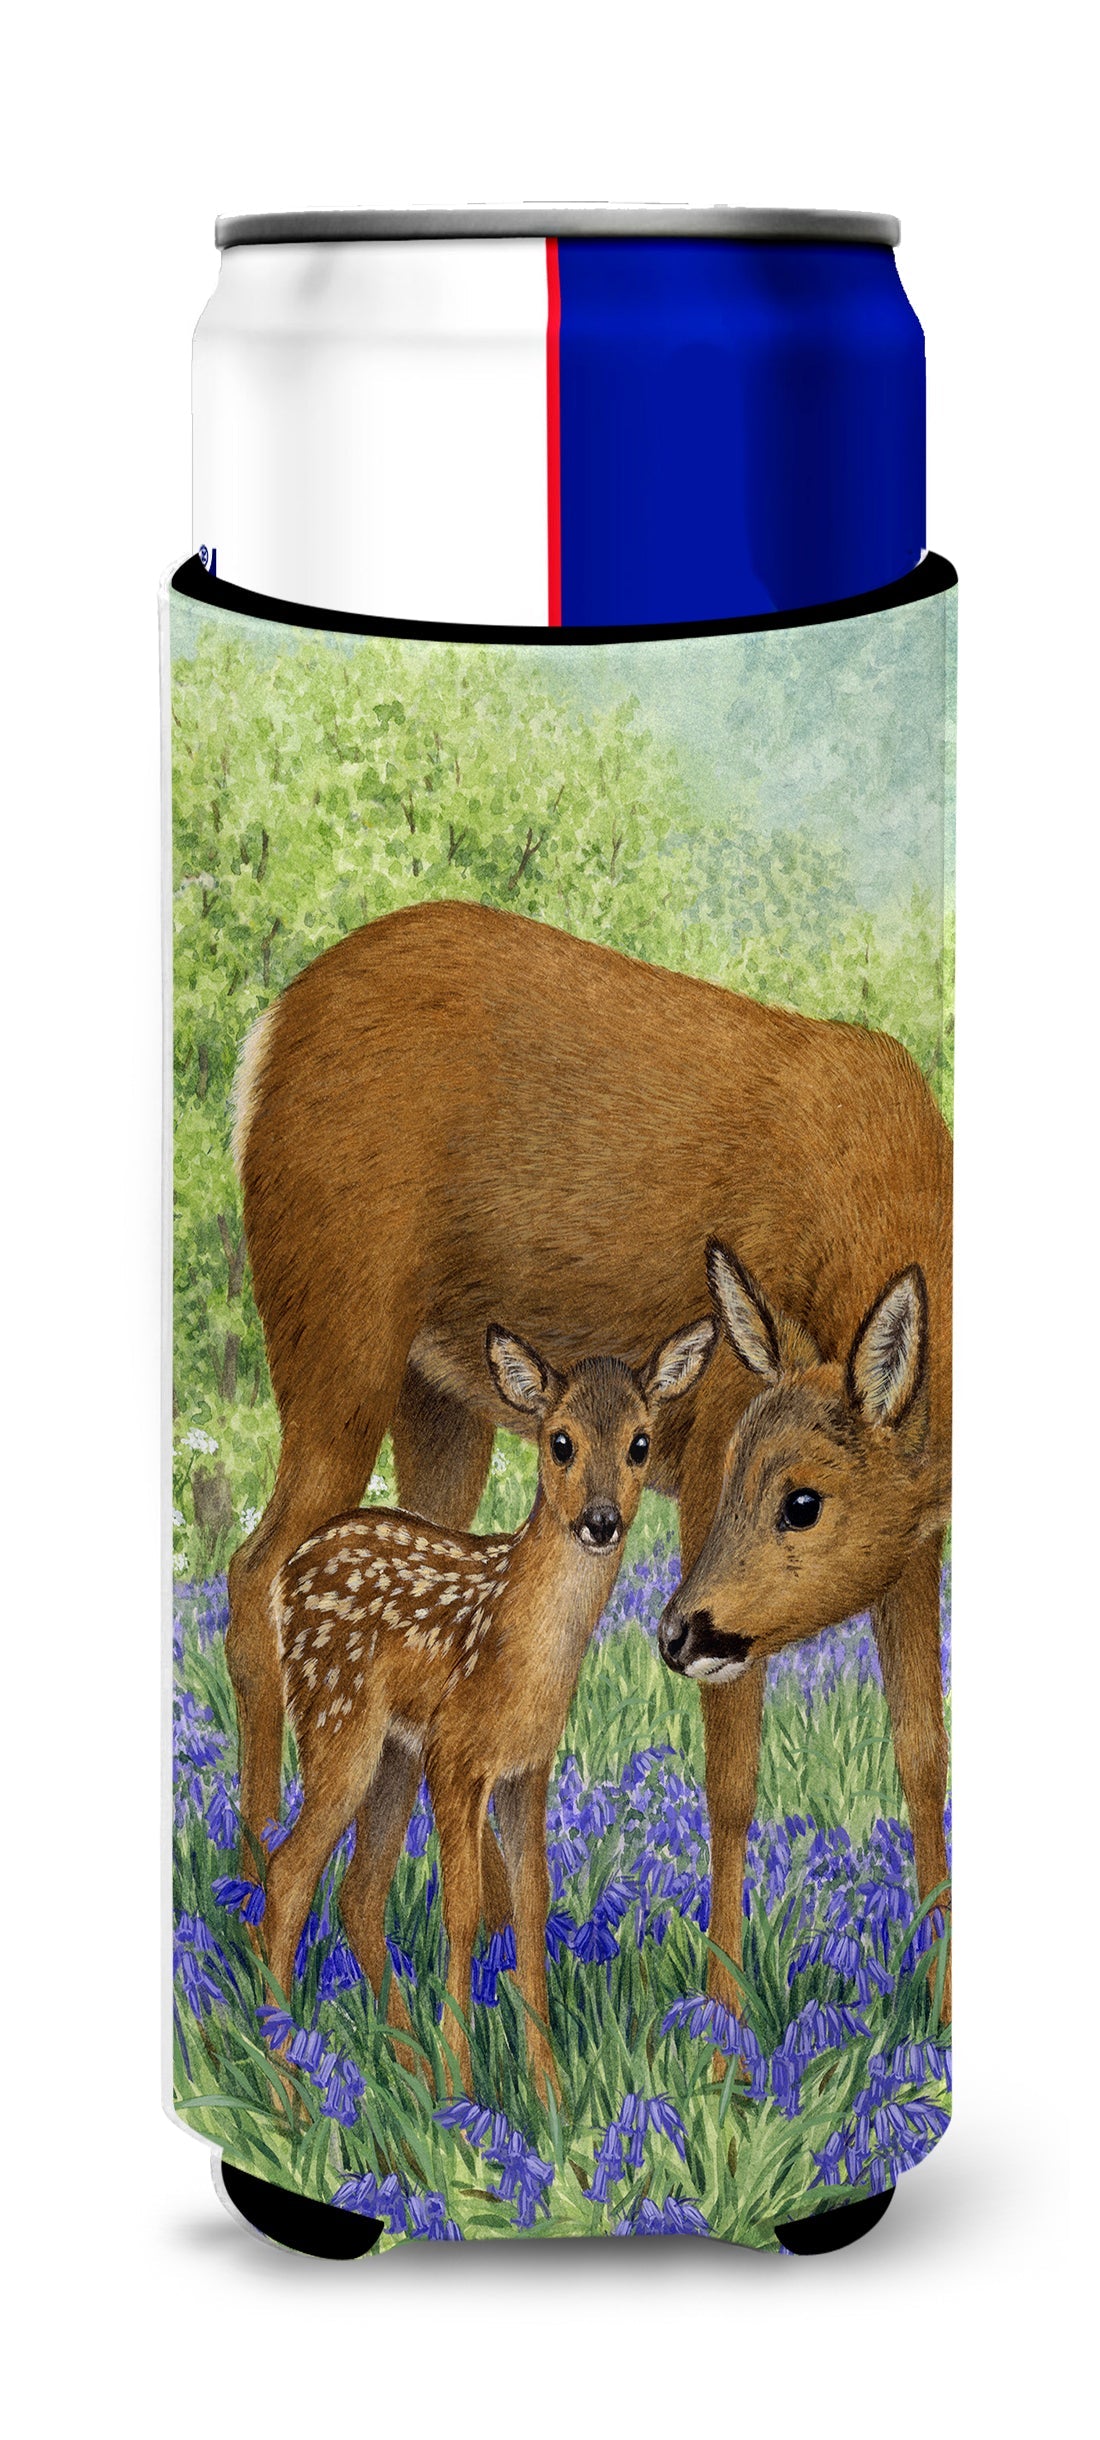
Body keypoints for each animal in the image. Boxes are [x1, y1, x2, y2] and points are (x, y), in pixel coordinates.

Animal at [263, 1313, 717, 2099]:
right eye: (559, 1440)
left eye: (640, 1441)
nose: (600, 1520)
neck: (522, 1658)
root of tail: (284, 1581)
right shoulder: (456, 1757)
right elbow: (465, 1906)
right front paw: (465, 2084)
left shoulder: (525, 1768)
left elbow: (533, 1902)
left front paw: (548, 2089)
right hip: (337, 1720)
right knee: (288, 1875)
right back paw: (288, 2085)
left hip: (392, 1753)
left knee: (357, 1892)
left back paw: (404, 2066)